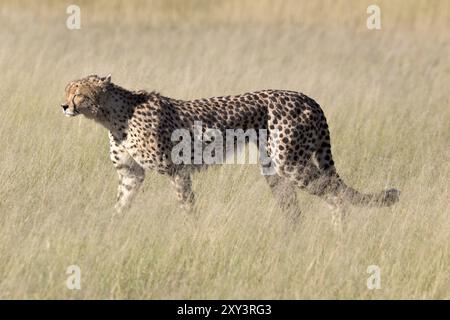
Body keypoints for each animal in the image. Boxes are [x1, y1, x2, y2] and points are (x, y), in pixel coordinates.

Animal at [60, 74, 400, 226]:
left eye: (79, 93)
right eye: (67, 91)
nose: (63, 106)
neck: (113, 115)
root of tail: (307, 97)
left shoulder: (176, 169)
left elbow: (187, 206)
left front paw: (192, 233)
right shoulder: (131, 174)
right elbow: (120, 206)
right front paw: (109, 230)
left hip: (291, 163)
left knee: (335, 194)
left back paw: (337, 234)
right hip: (274, 170)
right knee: (295, 210)